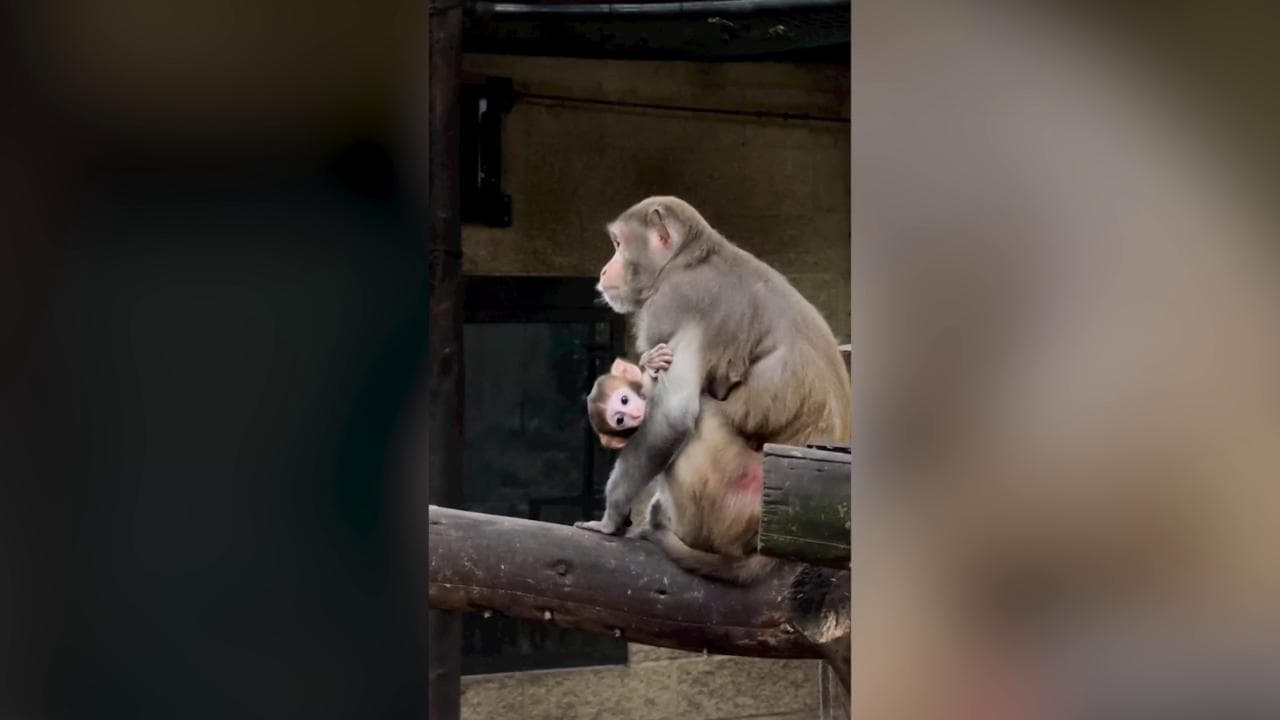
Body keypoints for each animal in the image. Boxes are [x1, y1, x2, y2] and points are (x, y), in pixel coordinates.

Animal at [574, 196, 851, 585]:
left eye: (618, 244)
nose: (602, 272)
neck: (688, 259)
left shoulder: (677, 301)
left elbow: (674, 415)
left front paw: (609, 519)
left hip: (733, 504)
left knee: (701, 420)